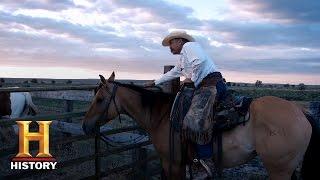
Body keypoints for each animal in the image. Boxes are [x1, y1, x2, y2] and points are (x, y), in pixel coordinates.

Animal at [83, 72, 320, 179]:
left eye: (100, 100)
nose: (85, 126)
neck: (162, 115)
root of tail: (300, 112)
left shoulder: (173, 163)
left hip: (279, 170)